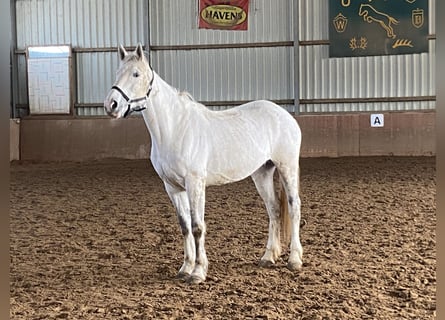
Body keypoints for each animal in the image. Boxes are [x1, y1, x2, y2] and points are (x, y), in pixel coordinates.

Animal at [103, 43, 302, 284]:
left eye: (136, 74)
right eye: (117, 73)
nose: (111, 104)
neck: (176, 128)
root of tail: (285, 116)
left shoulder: (195, 183)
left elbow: (198, 227)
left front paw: (198, 272)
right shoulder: (172, 187)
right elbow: (185, 226)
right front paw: (185, 268)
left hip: (286, 167)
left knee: (294, 207)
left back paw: (294, 260)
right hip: (262, 173)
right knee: (273, 209)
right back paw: (268, 257)